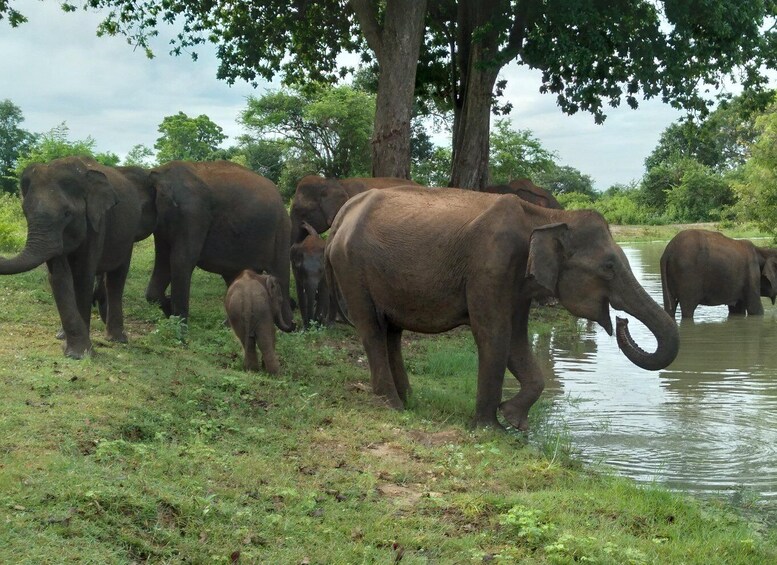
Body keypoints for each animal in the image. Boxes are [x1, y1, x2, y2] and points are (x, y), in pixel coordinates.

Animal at [0, 156, 143, 358]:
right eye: (25, 212)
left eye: (67, 214)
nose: (2, 257)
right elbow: (59, 277)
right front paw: (76, 352)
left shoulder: (97, 222)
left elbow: (82, 276)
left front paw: (80, 354)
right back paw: (61, 335)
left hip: (128, 235)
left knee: (117, 279)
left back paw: (117, 339)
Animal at [144, 160, 295, 328]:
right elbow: (163, 261)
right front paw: (169, 311)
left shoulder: (192, 214)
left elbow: (181, 260)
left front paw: (179, 327)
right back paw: (229, 326)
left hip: (281, 228)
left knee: (280, 273)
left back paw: (289, 326)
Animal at [325, 186, 679, 430]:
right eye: (608, 267)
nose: (622, 323)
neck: (546, 218)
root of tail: (341, 216)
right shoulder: (491, 265)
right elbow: (494, 334)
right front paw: (490, 429)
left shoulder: (517, 282)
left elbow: (516, 339)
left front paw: (513, 421)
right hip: (351, 268)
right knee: (372, 329)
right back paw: (393, 406)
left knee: (391, 332)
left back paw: (410, 402)